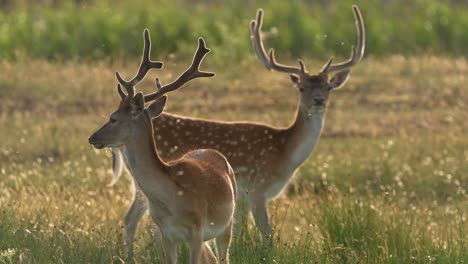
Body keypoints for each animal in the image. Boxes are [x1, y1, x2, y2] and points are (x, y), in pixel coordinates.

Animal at [88, 29, 236, 262]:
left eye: (113, 118)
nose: (93, 137)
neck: (172, 201)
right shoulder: (166, 234)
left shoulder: (197, 229)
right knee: (212, 259)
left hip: (226, 224)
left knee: (223, 257)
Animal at [111, 3, 364, 256]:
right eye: (301, 87)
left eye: (329, 87)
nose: (319, 100)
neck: (285, 153)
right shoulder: (258, 188)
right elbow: (267, 234)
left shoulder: (239, 199)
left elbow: (239, 232)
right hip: (143, 184)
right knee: (134, 219)